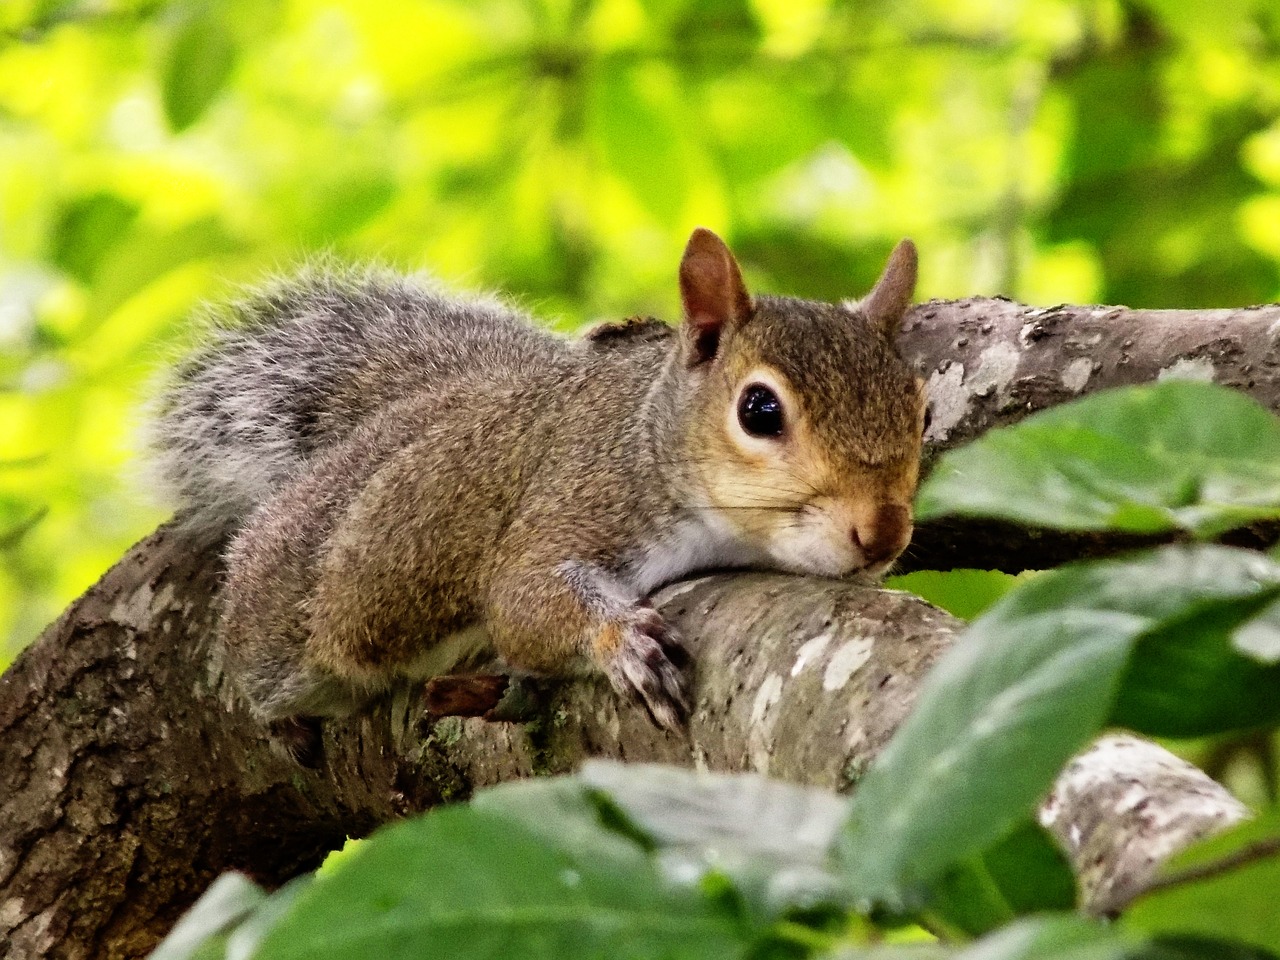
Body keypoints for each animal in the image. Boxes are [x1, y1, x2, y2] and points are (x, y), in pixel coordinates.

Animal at [154, 227, 926, 737]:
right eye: (759, 410)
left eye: (918, 407)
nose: (883, 531)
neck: (647, 434)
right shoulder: (578, 495)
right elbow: (519, 602)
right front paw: (625, 641)